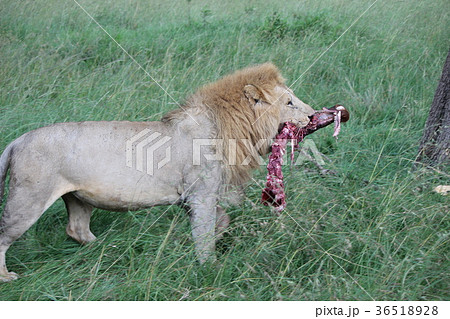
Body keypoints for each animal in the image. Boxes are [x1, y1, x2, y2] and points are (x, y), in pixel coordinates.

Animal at [0, 63, 324, 282]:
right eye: (289, 102)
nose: (313, 115)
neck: (233, 129)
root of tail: (17, 140)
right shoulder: (201, 194)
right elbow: (204, 233)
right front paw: (210, 266)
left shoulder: (195, 197)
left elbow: (220, 221)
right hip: (29, 198)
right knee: (4, 235)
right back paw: (7, 277)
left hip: (78, 198)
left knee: (76, 229)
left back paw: (109, 249)